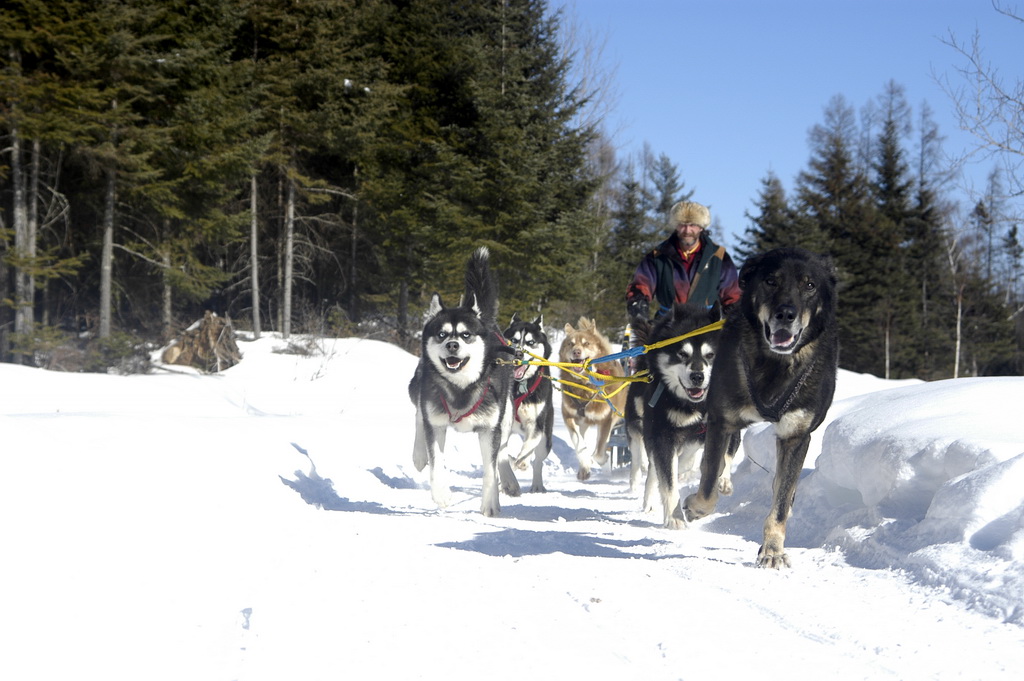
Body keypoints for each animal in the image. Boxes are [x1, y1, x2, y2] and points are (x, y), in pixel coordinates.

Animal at [408, 247, 521, 516]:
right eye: (442, 334)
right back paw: (418, 455)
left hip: (507, 414)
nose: (452, 344)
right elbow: (436, 461)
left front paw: (490, 502)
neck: (461, 387)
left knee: (502, 452)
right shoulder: (436, 422)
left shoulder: (490, 429)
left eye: (466, 334)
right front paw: (440, 493)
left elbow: (490, 469)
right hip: (419, 389)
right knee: (418, 415)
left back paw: (509, 481)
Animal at [683, 248, 839, 567]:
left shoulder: (795, 437)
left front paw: (773, 549)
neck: (775, 364)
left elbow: (780, 502)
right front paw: (695, 505)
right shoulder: (721, 421)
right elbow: (708, 485)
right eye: (770, 281)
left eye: (809, 285)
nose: (786, 314)